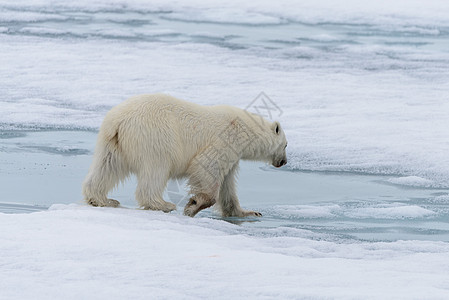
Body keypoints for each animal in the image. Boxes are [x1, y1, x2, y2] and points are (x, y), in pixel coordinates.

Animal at [82, 92, 288, 217]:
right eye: (286, 145)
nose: (284, 162)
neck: (247, 129)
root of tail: (118, 121)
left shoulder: (233, 155)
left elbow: (228, 185)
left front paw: (248, 212)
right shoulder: (225, 141)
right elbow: (206, 166)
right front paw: (193, 205)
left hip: (112, 142)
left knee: (106, 166)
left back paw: (102, 199)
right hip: (156, 136)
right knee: (156, 170)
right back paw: (163, 204)